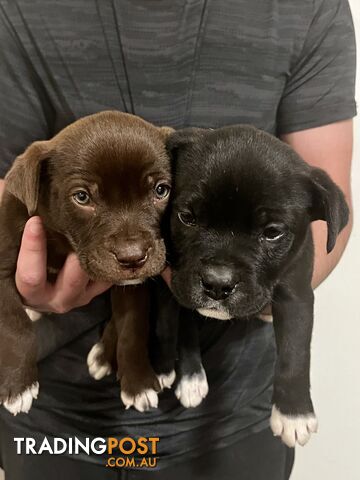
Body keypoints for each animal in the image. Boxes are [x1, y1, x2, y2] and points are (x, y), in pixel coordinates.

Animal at [0, 110, 173, 414]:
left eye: (161, 190)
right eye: (82, 197)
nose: (133, 257)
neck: (63, 241)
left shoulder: (134, 285)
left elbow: (132, 326)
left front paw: (138, 382)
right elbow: (14, 324)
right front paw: (19, 384)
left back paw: (105, 354)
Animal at [159, 125, 348, 448]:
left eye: (272, 233)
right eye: (186, 217)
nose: (217, 283)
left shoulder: (296, 294)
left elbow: (295, 350)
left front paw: (294, 413)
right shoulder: (177, 281)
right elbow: (184, 322)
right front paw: (190, 376)